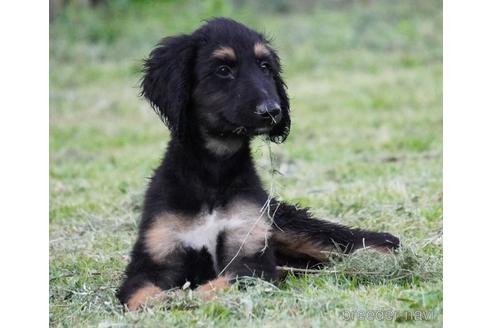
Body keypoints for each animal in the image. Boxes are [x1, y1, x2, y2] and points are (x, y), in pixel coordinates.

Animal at [116, 17, 400, 310]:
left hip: (289, 227)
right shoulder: (152, 260)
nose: (273, 111)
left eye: (265, 67)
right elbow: (143, 295)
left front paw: (188, 299)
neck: (213, 171)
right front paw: (172, 300)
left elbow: (220, 284)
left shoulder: (249, 255)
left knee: (371, 241)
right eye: (223, 70)